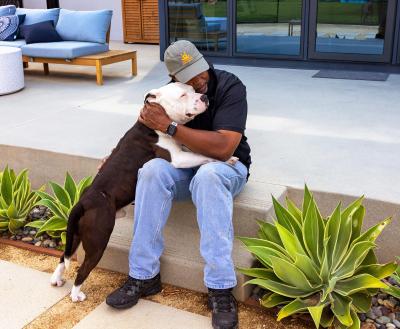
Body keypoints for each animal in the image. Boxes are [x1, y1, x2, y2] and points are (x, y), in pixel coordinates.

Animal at [50, 81, 238, 300]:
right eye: (183, 95)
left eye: (193, 90)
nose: (204, 97)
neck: (154, 126)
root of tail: (83, 202)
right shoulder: (178, 158)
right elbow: (202, 155)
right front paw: (228, 159)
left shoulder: (183, 151)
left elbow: (198, 150)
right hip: (98, 240)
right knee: (83, 268)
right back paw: (76, 295)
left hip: (76, 234)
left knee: (64, 256)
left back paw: (56, 279)